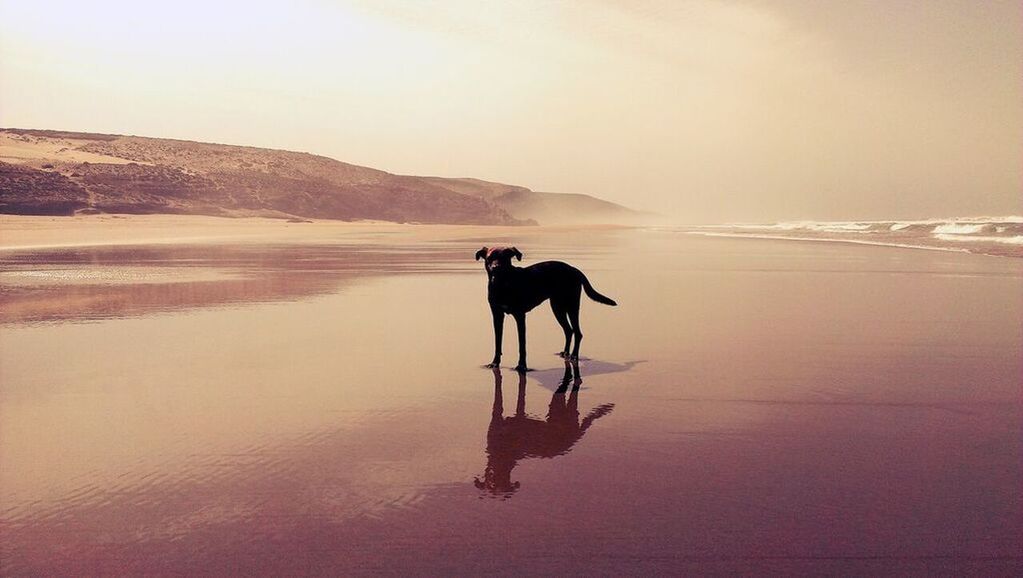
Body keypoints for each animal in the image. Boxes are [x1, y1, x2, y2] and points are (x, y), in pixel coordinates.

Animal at [476, 243, 617, 370]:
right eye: (489, 258)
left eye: (504, 259)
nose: (496, 267)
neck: (503, 284)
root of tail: (574, 269)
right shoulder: (497, 315)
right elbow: (497, 342)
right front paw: (494, 363)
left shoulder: (520, 316)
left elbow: (522, 345)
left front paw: (522, 366)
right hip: (557, 307)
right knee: (568, 330)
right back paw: (565, 353)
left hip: (572, 306)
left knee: (578, 332)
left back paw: (574, 356)